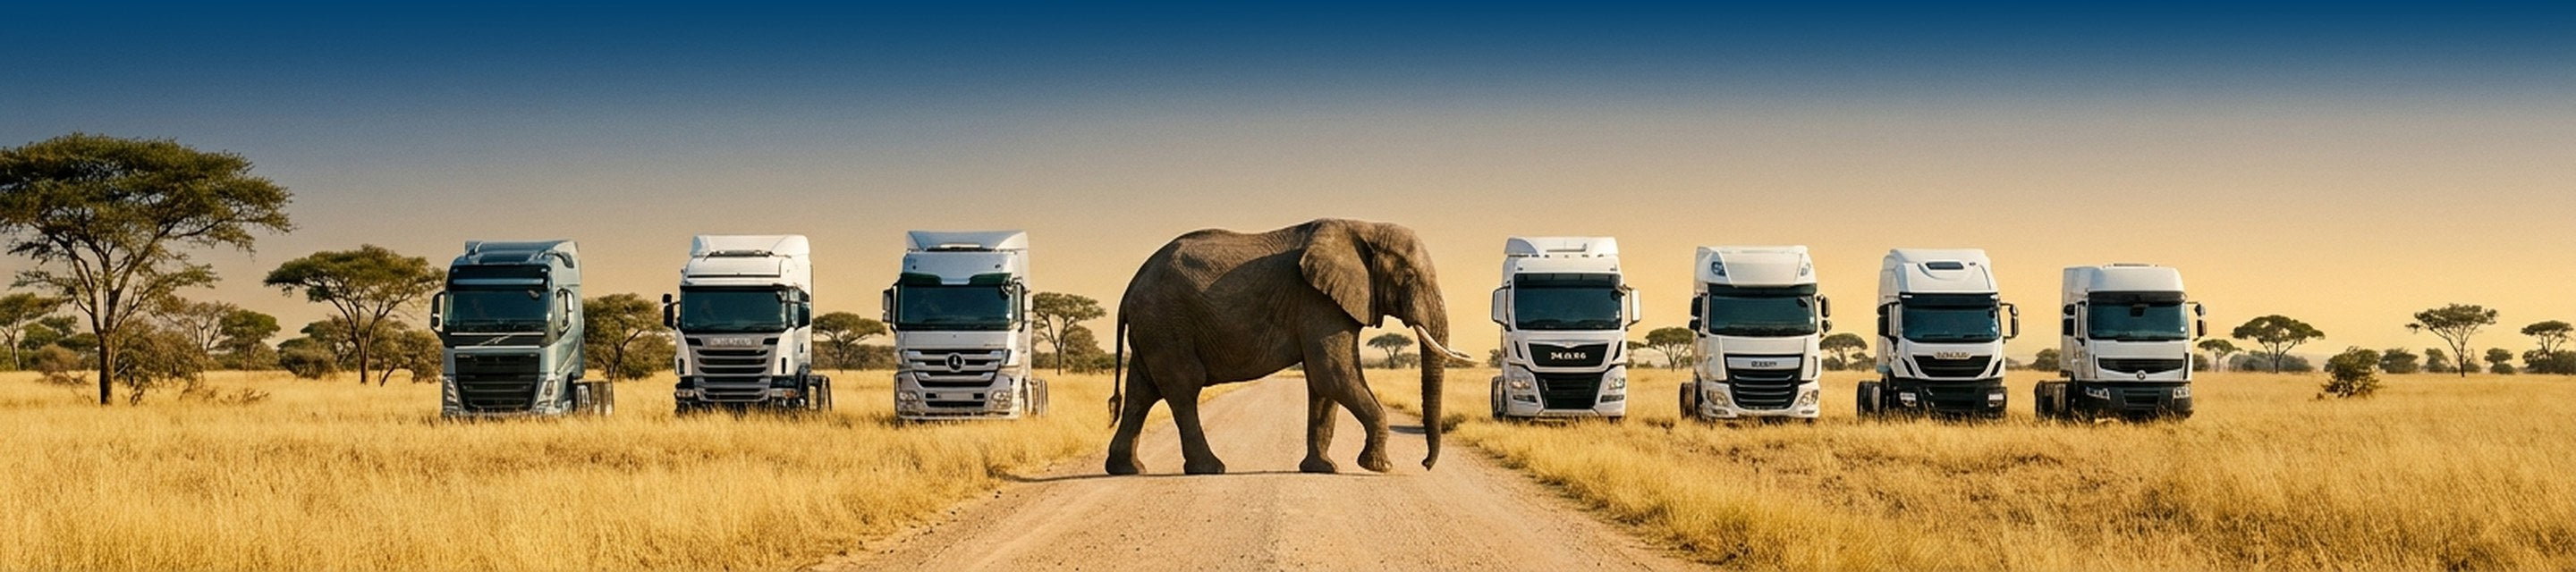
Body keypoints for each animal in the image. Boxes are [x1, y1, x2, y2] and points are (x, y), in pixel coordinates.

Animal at [1106, 218, 1468, 476]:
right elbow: (1332, 373)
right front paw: (1379, 467)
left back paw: (1127, 470)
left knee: (1141, 391)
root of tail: (1132, 283)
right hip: (1166, 322)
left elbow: (1323, 385)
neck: (1364, 227)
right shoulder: (1317, 301)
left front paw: (1323, 469)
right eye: (1409, 277)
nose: (1425, 464)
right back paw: (1210, 469)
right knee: (1182, 389)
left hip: (1153, 328)